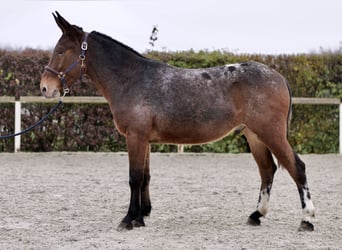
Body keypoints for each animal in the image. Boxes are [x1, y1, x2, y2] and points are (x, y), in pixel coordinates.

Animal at [40, 11, 316, 230]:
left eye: (61, 51)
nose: (45, 87)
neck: (131, 79)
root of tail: (279, 77)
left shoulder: (135, 137)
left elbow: (134, 178)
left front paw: (128, 219)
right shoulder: (144, 140)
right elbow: (145, 177)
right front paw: (141, 217)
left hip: (271, 133)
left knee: (297, 168)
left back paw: (307, 219)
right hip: (254, 136)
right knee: (267, 170)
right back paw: (256, 215)